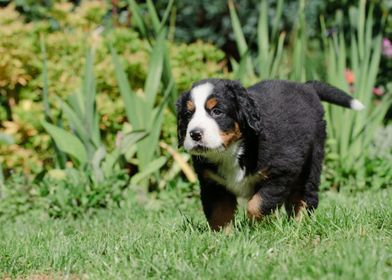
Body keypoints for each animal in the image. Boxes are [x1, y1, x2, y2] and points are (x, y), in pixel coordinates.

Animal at [176, 78, 362, 230]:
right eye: (188, 114)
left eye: (217, 111)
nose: (195, 134)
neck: (232, 151)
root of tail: (306, 86)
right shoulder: (213, 183)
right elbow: (219, 213)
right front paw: (222, 238)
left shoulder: (282, 171)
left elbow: (257, 204)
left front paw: (259, 227)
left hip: (312, 161)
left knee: (305, 197)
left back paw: (299, 226)